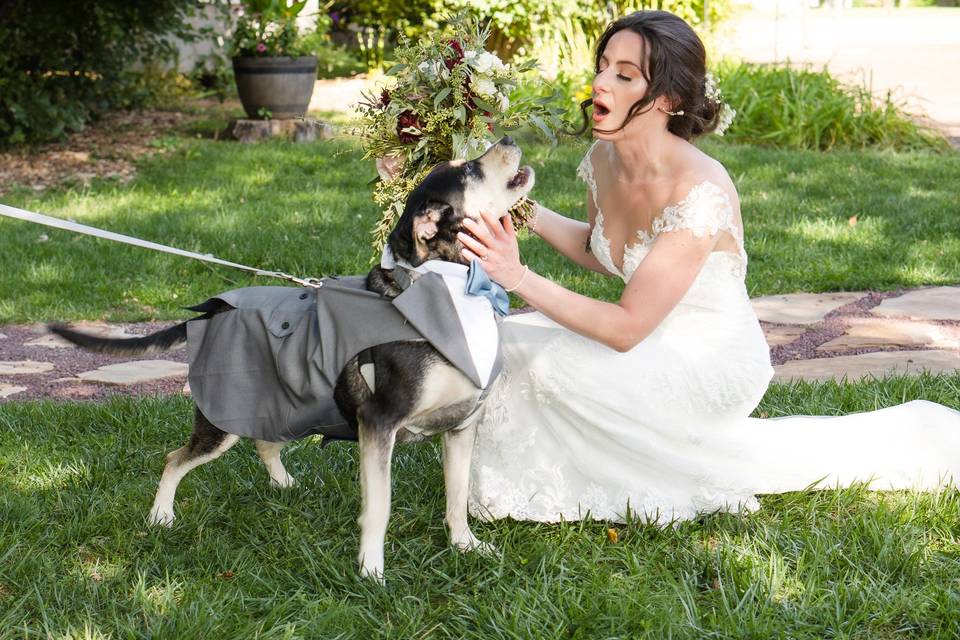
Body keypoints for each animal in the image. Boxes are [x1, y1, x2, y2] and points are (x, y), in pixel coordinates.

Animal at [52, 138, 536, 584]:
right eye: (468, 168)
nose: (509, 139)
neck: (452, 290)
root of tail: (212, 312)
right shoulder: (379, 425)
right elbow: (379, 509)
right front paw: (371, 571)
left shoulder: (460, 426)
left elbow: (457, 498)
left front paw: (465, 545)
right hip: (222, 423)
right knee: (174, 459)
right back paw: (161, 516)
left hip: (290, 407)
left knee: (265, 443)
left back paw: (283, 485)